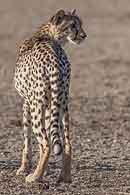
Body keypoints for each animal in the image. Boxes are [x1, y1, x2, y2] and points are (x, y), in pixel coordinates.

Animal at [13, 8, 86, 183]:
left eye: (79, 25)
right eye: (73, 25)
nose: (83, 35)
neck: (48, 35)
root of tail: (55, 57)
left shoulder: (26, 102)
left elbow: (27, 139)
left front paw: (23, 169)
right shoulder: (49, 105)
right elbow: (54, 136)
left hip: (36, 106)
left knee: (46, 143)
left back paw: (35, 177)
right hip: (63, 104)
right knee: (66, 143)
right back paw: (65, 177)